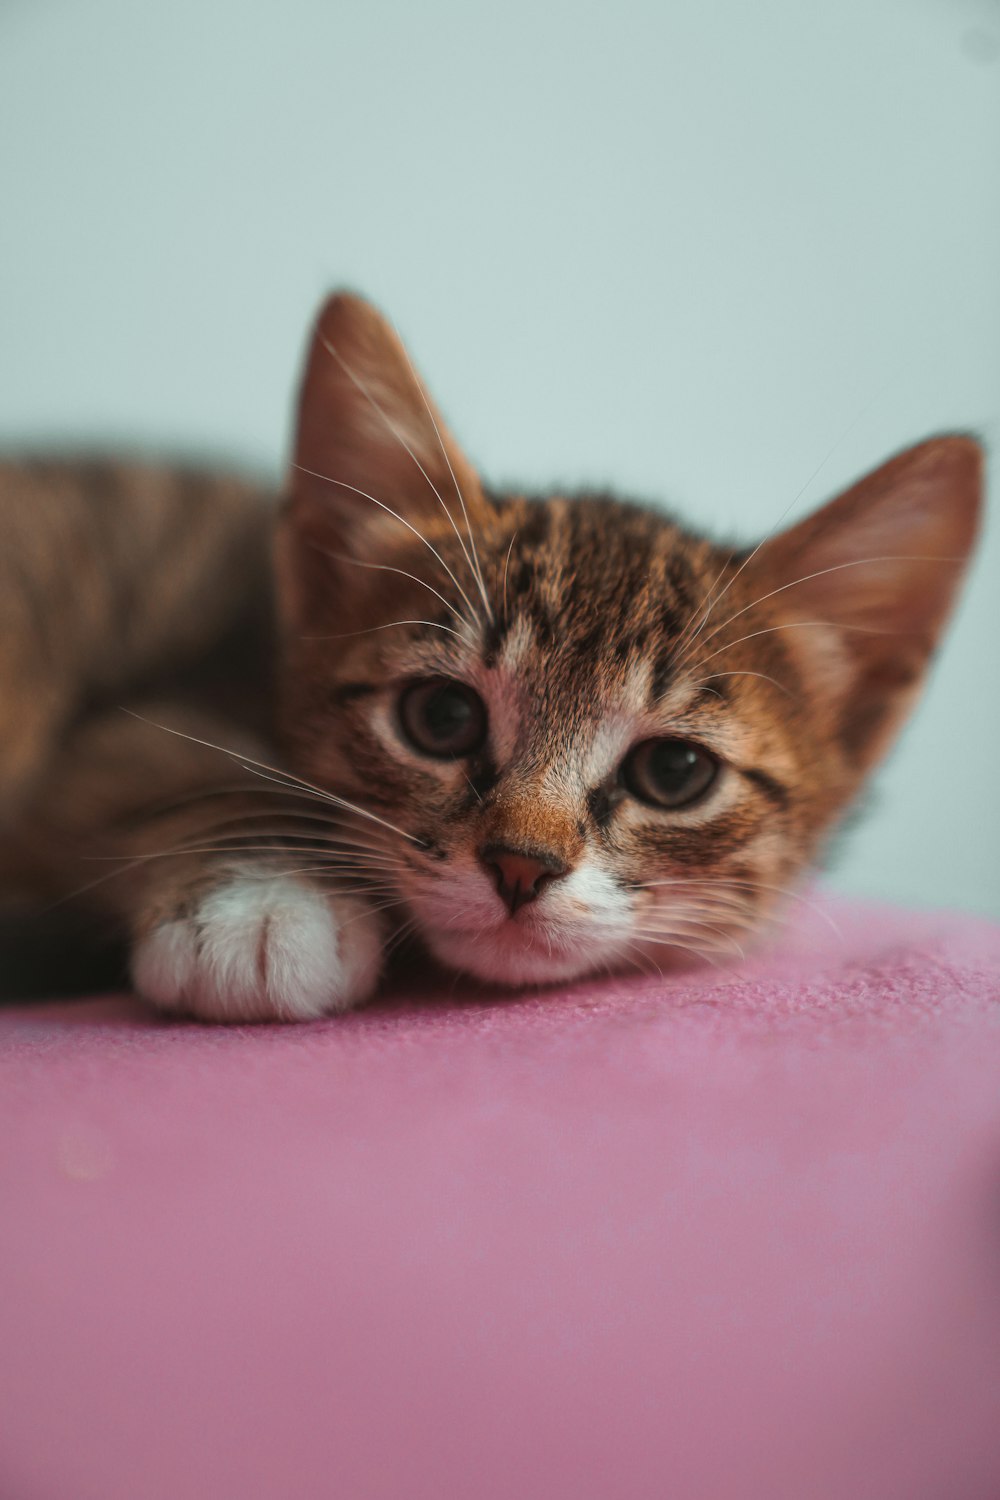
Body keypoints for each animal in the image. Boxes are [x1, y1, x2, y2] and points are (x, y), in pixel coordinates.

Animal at [0, 292, 983, 1020]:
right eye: (441, 717)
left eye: (674, 771)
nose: (521, 867)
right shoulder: (119, 734)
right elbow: (190, 769)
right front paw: (262, 906)